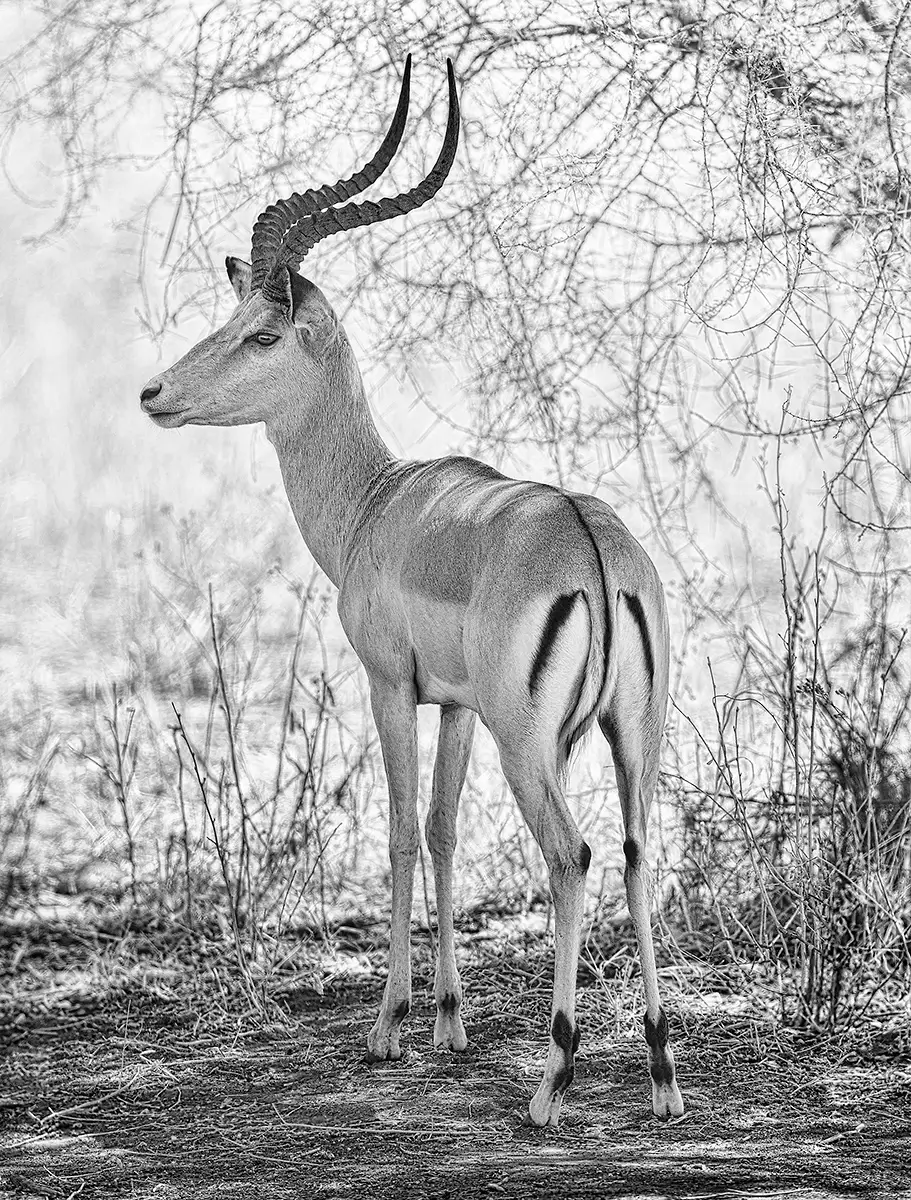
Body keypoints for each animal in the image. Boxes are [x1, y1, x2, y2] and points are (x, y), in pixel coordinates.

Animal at [139, 56, 684, 1129]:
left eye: (261, 334)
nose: (154, 395)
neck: (376, 502)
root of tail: (594, 552)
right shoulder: (457, 705)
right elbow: (440, 830)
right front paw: (447, 1020)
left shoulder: (390, 685)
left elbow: (394, 834)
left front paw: (389, 1026)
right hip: (628, 737)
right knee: (638, 851)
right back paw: (657, 1075)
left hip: (532, 748)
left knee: (571, 856)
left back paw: (552, 1082)